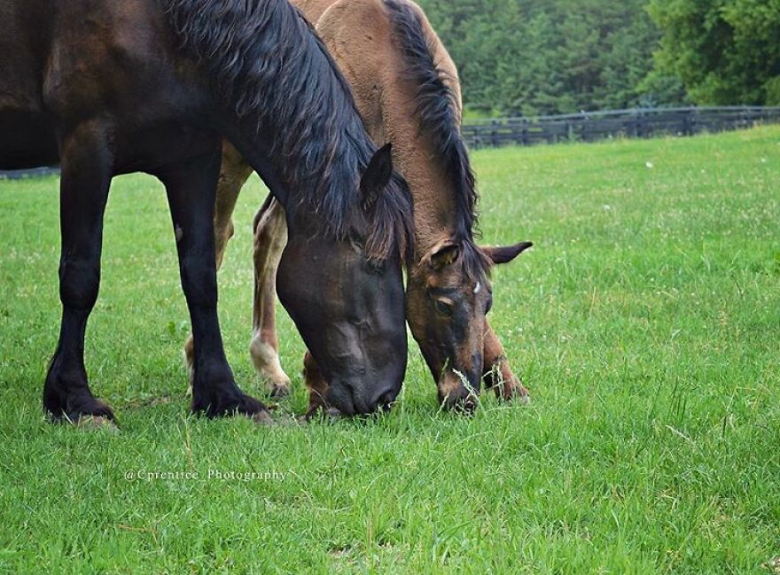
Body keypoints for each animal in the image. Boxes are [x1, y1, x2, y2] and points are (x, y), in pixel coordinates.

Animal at [0, 0, 414, 423]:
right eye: (374, 263)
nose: (384, 396)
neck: (168, 22)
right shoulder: (86, 145)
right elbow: (81, 277)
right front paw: (74, 397)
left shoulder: (194, 158)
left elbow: (201, 277)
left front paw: (223, 394)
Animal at [196, 0, 533, 413]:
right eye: (442, 305)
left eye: (487, 305)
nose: (463, 398)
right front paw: (321, 390)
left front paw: (511, 386)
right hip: (236, 154)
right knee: (219, 232)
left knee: (267, 233)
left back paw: (270, 369)